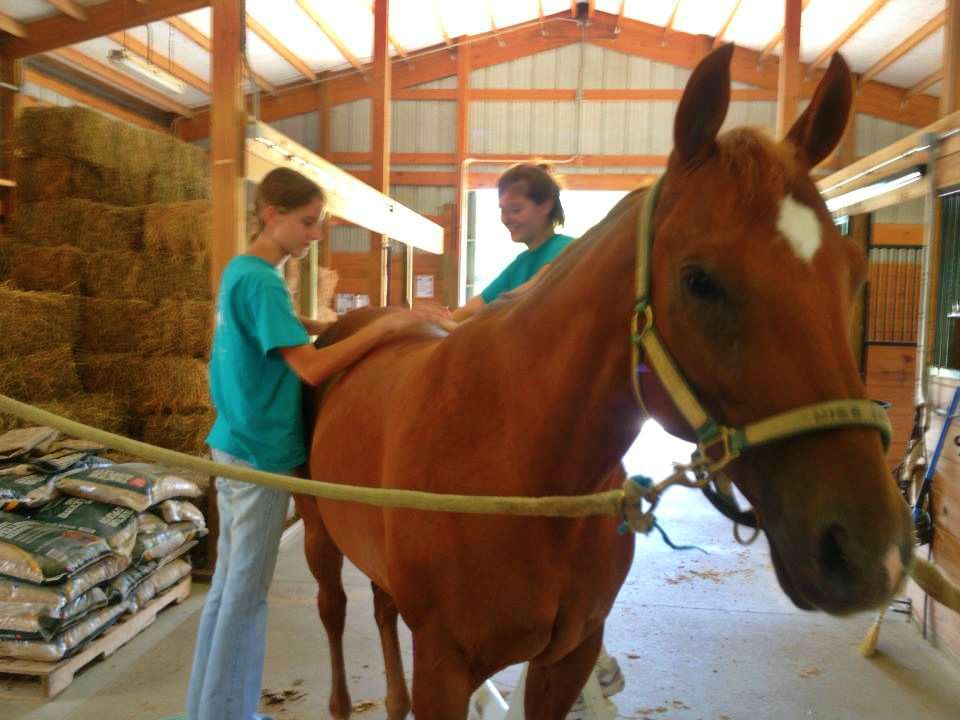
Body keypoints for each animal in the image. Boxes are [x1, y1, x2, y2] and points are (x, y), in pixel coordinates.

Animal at [294, 45, 914, 719]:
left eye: (854, 274)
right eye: (699, 281)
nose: (870, 553)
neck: (517, 468)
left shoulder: (569, 656)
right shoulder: (444, 669)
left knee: (381, 610)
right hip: (320, 538)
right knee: (333, 609)